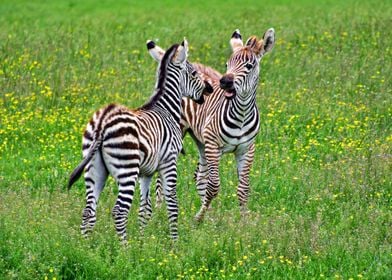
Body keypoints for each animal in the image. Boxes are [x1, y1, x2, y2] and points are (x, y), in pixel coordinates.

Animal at [68, 39, 213, 241]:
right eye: (194, 73)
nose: (210, 88)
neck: (165, 108)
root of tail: (103, 121)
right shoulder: (169, 162)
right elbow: (172, 204)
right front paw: (174, 243)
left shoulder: (147, 173)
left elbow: (145, 208)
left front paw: (143, 240)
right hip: (127, 169)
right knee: (119, 211)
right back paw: (125, 248)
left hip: (94, 170)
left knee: (88, 210)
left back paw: (86, 246)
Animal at [147, 28, 276, 221]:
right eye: (227, 64)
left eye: (249, 66)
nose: (225, 82)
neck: (242, 115)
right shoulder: (213, 145)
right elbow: (214, 186)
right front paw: (198, 218)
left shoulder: (247, 149)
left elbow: (243, 188)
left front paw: (243, 221)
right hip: (182, 134)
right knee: (163, 178)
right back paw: (159, 209)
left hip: (201, 141)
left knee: (199, 176)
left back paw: (210, 215)